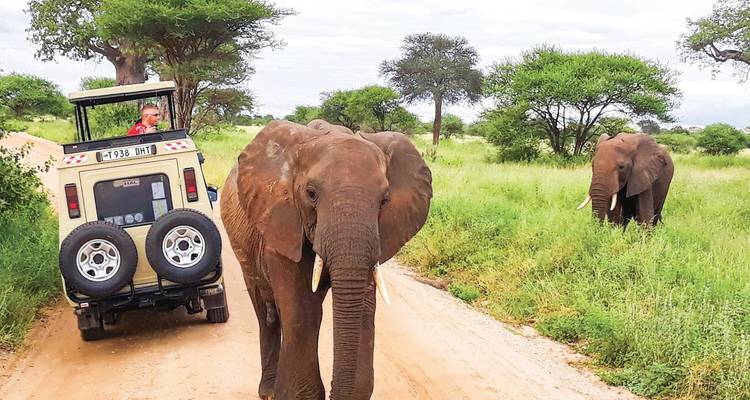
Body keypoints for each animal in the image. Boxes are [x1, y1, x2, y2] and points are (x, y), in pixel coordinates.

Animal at [220, 120, 432, 400]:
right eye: (311, 193)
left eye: (384, 200)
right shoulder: (281, 225)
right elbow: (300, 311)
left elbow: (362, 312)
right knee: (267, 312)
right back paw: (268, 391)